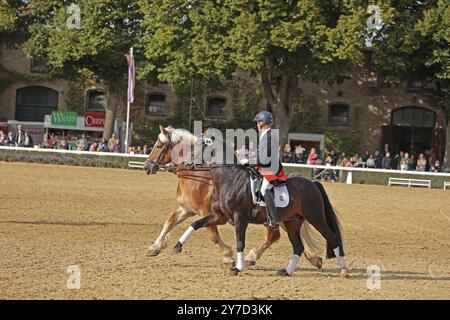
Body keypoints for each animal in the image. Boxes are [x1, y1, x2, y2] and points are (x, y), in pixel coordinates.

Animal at [144, 125, 324, 270]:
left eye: (159, 145)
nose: (147, 166)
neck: (197, 177)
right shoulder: (187, 209)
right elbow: (169, 222)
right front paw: (154, 247)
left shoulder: (207, 212)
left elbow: (212, 235)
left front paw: (228, 257)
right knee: (279, 236)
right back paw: (312, 259)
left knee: (275, 236)